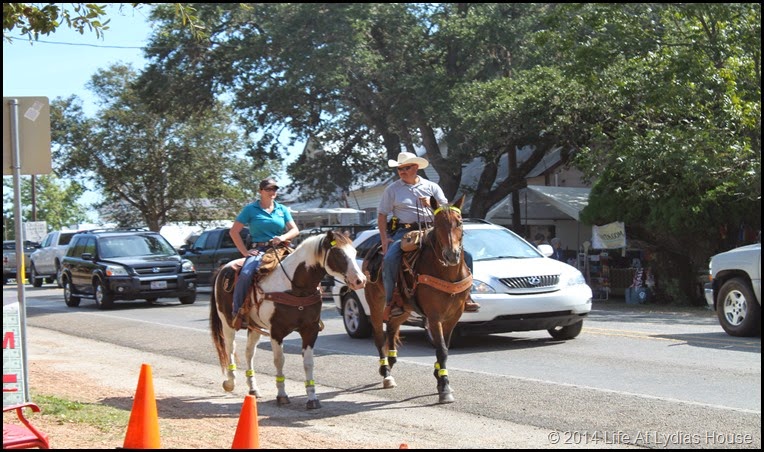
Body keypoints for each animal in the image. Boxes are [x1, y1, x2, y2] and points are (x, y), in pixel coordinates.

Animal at [207, 231, 366, 408]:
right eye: (338, 253)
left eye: (355, 253)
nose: (360, 281)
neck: (296, 287)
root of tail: (223, 268)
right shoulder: (277, 331)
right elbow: (279, 360)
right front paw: (282, 395)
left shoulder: (310, 330)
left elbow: (308, 362)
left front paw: (312, 398)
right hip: (227, 323)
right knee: (230, 348)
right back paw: (230, 382)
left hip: (254, 327)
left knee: (249, 353)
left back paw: (253, 389)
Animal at [364, 194, 472, 402]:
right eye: (437, 224)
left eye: (460, 222)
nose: (451, 255)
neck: (447, 273)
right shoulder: (434, 316)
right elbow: (441, 349)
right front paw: (444, 387)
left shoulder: (454, 315)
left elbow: (445, 347)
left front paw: (438, 376)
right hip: (376, 305)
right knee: (379, 336)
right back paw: (386, 373)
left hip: (404, 309)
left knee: (392, 328)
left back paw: (392, 359)